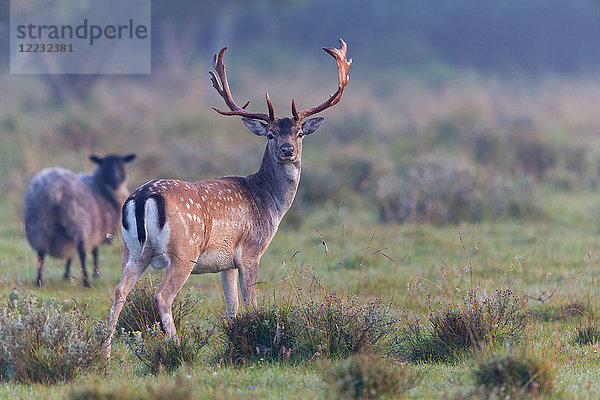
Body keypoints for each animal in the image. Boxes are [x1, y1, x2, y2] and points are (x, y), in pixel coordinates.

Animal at [24, 154, 136, 288]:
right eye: (105, 165)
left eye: (121, 164)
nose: (115, 180)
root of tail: (55, 188)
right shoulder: (96, 229)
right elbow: (94, 252)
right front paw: (95, 274)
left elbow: (70, 255)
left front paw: (66, 275)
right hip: (80, 222)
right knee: (82, 252)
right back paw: (86, 282)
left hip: (40, 224)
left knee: (41, 254)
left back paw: (39, 280)